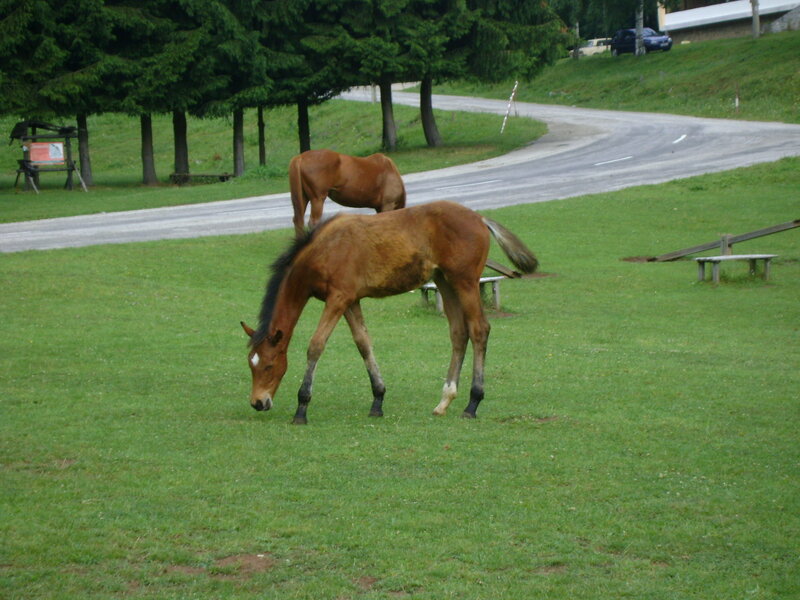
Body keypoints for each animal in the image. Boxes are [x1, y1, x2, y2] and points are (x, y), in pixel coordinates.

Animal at [241, 200, 538, 424]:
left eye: (269, 365)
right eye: (250, 364)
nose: (258, 402)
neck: (323, 250)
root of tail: (480, 217)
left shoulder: (337, 299)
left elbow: (316, 345)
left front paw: (302, 408)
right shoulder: (350, 300)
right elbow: (363, 343)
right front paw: (378, 399)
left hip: (464, 281)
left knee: (479, 329)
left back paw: (472, 403)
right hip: (444, 280)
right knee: (458, 331)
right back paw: (444, 401)